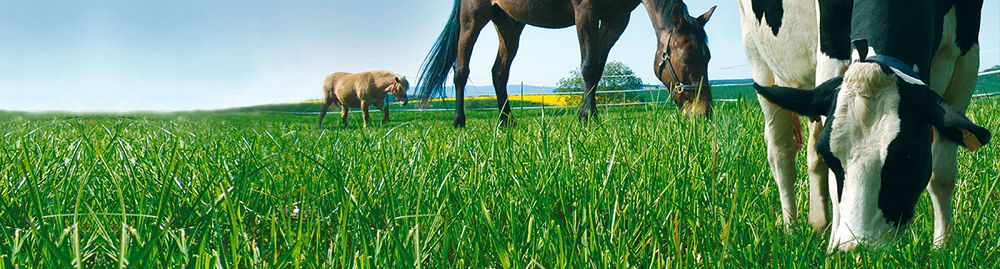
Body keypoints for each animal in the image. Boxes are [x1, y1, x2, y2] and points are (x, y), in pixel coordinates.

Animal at [418, 0, 716, 126]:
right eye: (687, 58)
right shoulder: (585, 10)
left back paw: (506, 122)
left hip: (509, 22)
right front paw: (586, 117)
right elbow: (588, 66)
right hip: (473, 16)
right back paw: (459, 122)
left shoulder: (617, 17)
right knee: (461, 69)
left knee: (499, 72)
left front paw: (591, 115)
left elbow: (598, 66)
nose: (703, 113)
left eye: (709, 57)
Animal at [748, 0, 988, 251]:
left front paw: (942, 247)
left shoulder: (967, 53)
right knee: (781, 156)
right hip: (758, 60)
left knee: (812, 157)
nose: (856, 249)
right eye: (831, 156)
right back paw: (791, 230)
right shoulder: (830, 47)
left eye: (908, 155)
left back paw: (818, 224)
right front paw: (834, 245)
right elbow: (832, 182)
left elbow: (942, 174)